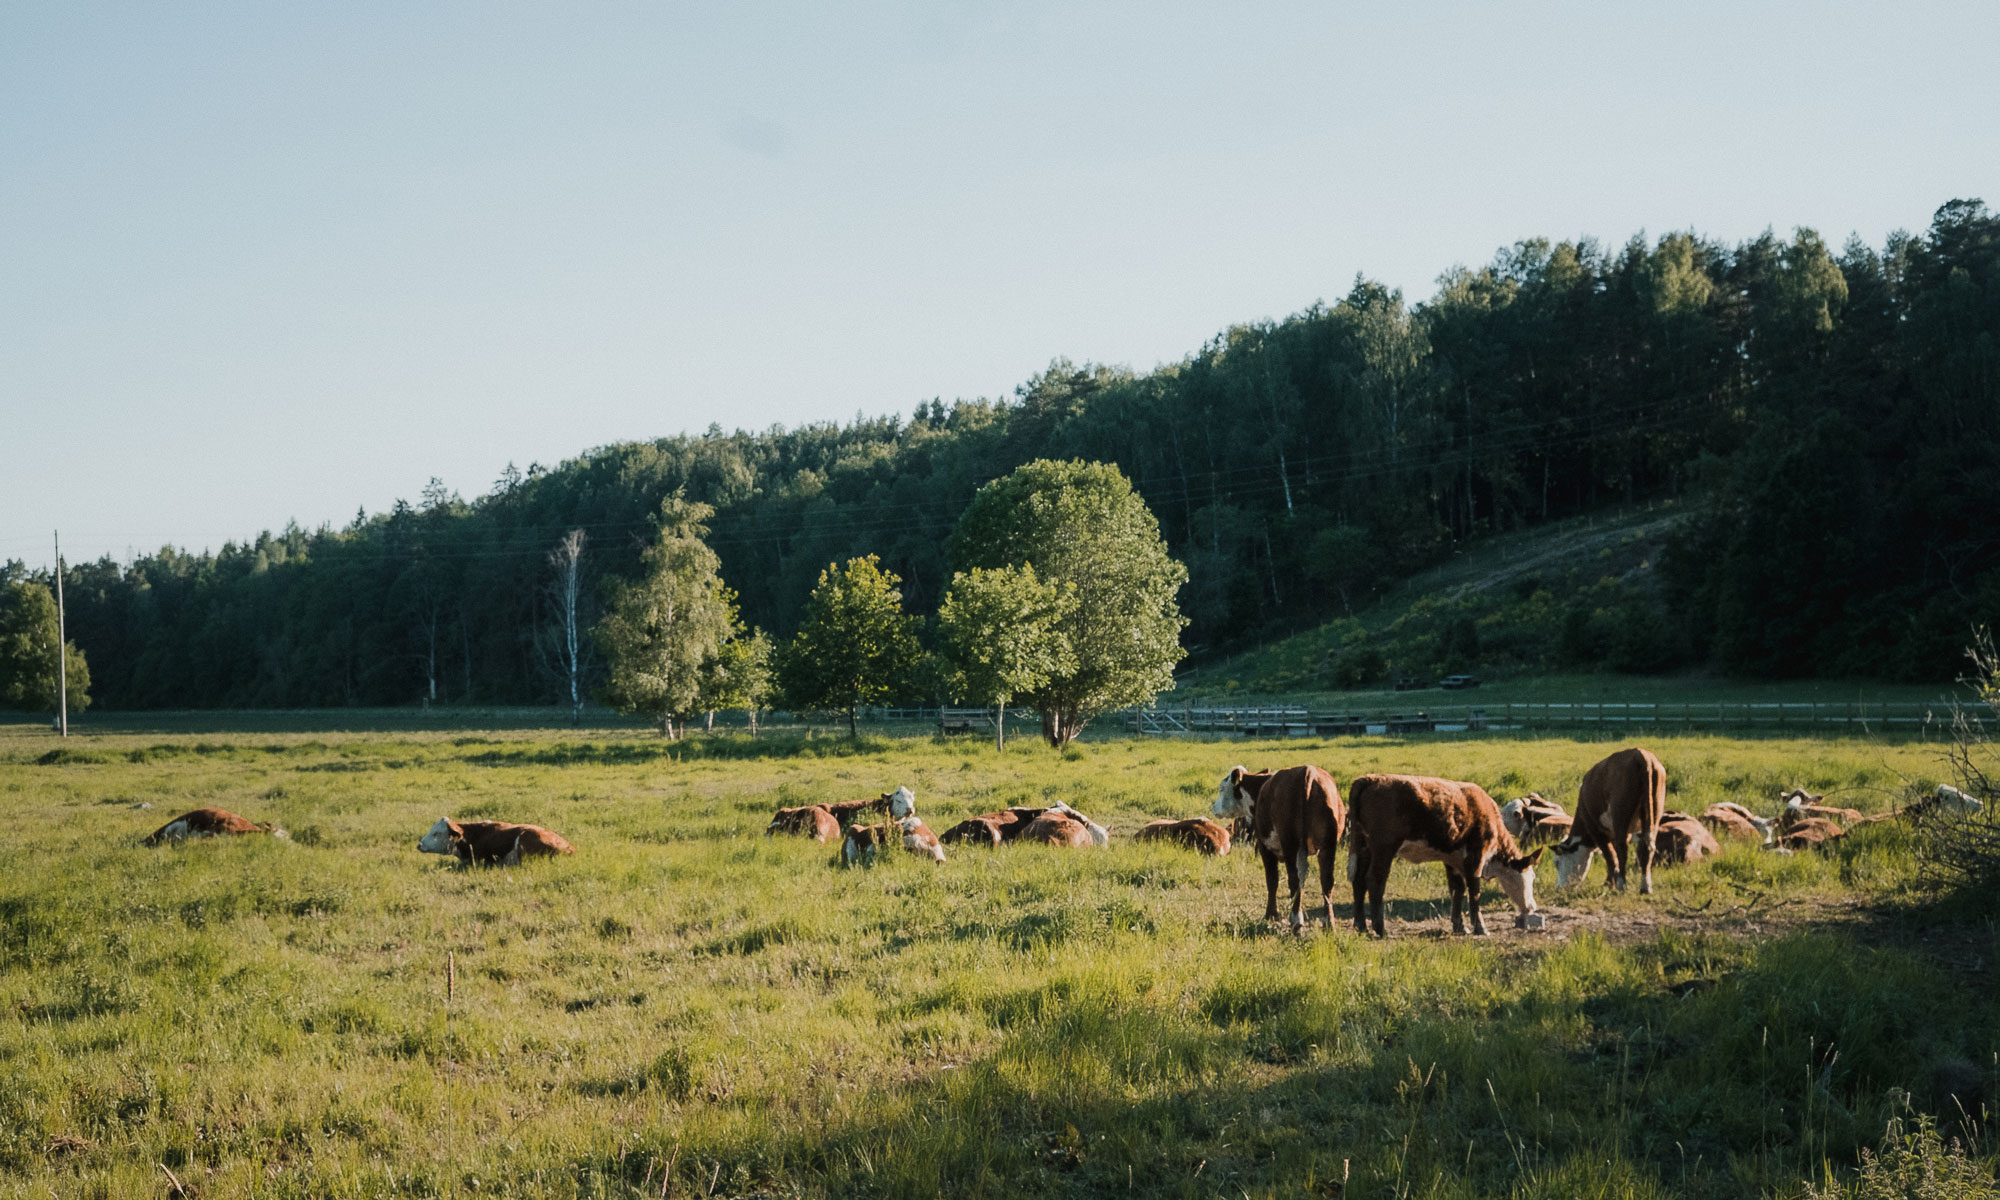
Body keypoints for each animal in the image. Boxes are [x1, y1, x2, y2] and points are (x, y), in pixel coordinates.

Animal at [1208, 764, 1352, 932]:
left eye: (1222, 788)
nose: (1213, 807)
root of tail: (1308, 772)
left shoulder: (1264, 846)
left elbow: (1272, 880)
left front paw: (1271, 914)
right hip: (1327, 846)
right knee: (1326, 880)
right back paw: (1328, 921)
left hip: (1291, 845)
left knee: (1295, 880)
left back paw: (1296, 921)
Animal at [1344, 772, 1544, 944]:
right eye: (1531, 877)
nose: (1532, 907)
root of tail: (1369, 778)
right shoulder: (1476, 856)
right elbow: (1474, 891)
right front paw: (1480, 928)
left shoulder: (1452, 860)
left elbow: (1457, 889)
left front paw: (1459, 926)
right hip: (1383, 848)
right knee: (1375, 881)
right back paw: (1380, 929)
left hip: (1363, 846)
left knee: (1359, 881)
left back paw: (1361, 927)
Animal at [1544, 744, 1672, 896]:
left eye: (1557, 862)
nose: (1559, 887)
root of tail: (1641, 754)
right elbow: (1613, 854)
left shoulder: (1595, 829)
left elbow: (1610, 856)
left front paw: (1609, 883)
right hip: (1654, 812)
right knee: (1647, 846)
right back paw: (1645, 886)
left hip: (1620, 814)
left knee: (1622, 849)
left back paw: (1621, 884)